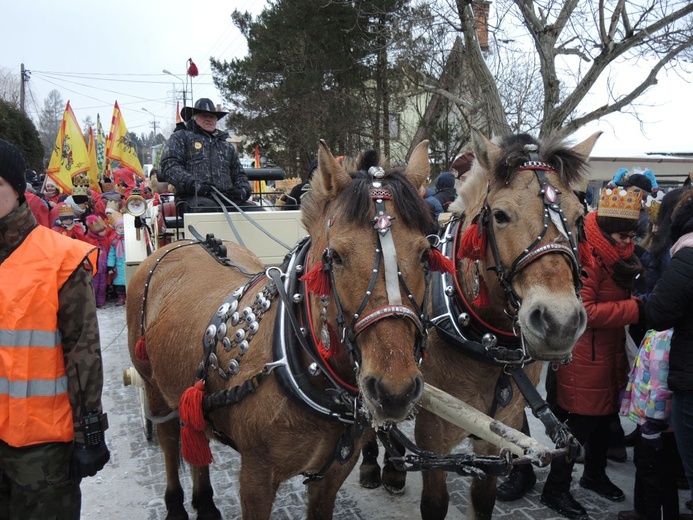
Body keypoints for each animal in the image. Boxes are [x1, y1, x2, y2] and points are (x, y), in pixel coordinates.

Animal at [126, 140, 436, 516]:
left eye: (426, 254)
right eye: (334, 256)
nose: (395, 390)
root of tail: (181, 243)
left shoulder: (333, 473)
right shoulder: (256, 477)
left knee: (194, 430)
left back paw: (206, 502)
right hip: (154, 387)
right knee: (170, 440)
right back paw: (175, 504)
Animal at [410, 128, 600, 516]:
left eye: (578, 219)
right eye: (499, 215)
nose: (560, 321)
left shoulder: (497, 438)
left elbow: (484, 500)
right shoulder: (432, 440)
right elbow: (435, 502)